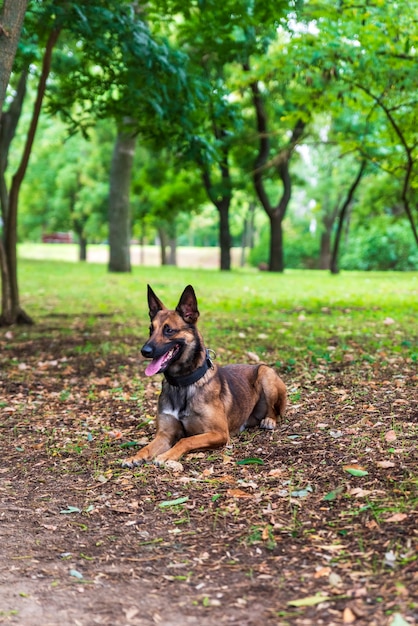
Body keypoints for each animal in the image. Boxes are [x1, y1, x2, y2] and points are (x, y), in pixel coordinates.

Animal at [121, 282, 288, 464]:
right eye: (151, 329)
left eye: (169, 330)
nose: (145, 351)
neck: (183, 383)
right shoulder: (165, 435)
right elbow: (148, 446)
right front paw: (135, 456)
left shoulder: (219, 433)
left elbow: (185, 440)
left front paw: (166, 455)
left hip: (266, 373)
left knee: (275, 411)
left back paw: (269, 420)